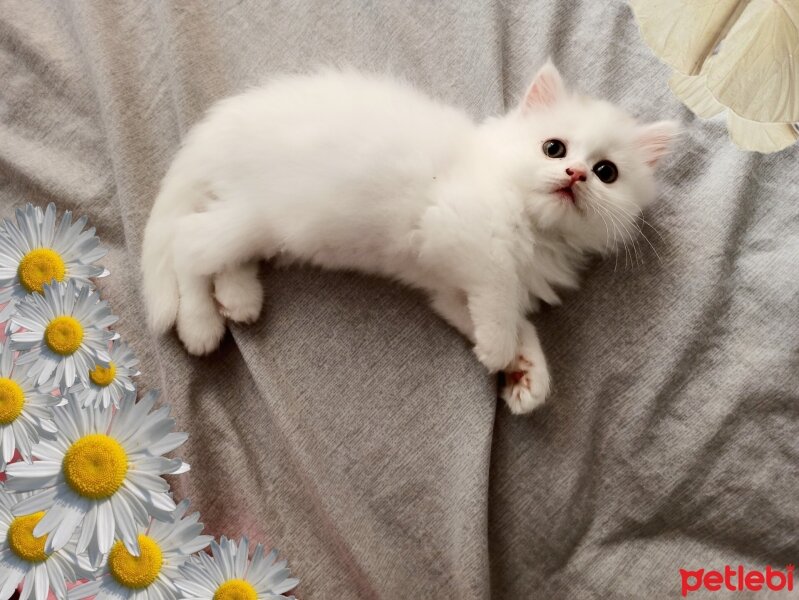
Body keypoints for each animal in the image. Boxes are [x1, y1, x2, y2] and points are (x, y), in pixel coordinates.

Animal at [141, 63, 680, 414]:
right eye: (554, 148)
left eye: (606, 172)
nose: (575, 174)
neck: (533, 227)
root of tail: (221, 124)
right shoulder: (458, 234)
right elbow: (502, 293)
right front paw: (502, 350)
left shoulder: (445, 287)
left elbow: (508, 320)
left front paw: (525, 373)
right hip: (262, 214)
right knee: (187, 244)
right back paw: (200, 324)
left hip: (258, 224)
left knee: (214, 250)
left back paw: (239, 298)